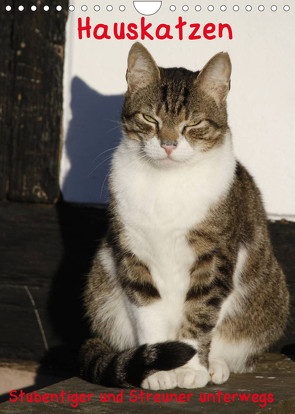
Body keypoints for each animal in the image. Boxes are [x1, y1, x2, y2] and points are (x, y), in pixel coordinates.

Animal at [80, 43, 290, 390]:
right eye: (149, 118)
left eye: (193, 124)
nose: (168, 144)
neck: (167, 182)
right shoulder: (133, 252)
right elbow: (147, 309)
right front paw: (157, 370)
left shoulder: (214, 256)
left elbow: (200, 311)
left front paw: (191, 368)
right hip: (102, 287)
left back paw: (215, 364)